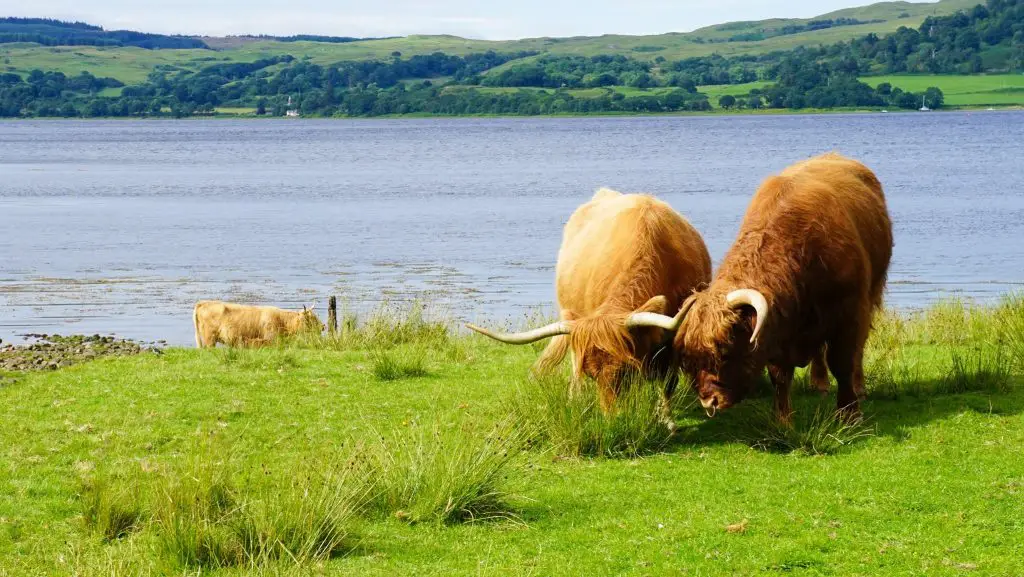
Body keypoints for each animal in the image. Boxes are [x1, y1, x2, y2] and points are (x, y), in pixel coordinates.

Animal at [622, 152, 888, 424]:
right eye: (689, 358)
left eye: (725, 351)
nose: (709, 402)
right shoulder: (778, 334)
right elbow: (780, 375)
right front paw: (782, 420)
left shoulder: (849, 314)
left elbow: (842, 363)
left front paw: (849, 415)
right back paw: (819, 383)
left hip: (871, 294)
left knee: (856, 352)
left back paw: (858, 387)